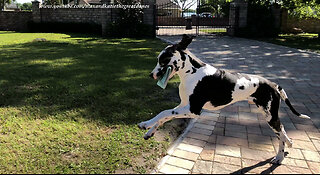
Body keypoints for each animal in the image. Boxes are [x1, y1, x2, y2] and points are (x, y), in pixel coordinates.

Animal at [138, 34, 310, 164]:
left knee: (280, 134)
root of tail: (274, 85)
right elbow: (165, 116)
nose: (151, 75)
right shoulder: (183, 105)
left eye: (163, 59)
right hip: (270, 116)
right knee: (282, 130)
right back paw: (289, 143)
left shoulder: (193, 110)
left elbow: (164, 113)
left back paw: (279, 156)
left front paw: (146, 123)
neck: (193, 73)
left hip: (270, 117)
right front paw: (150, 130)